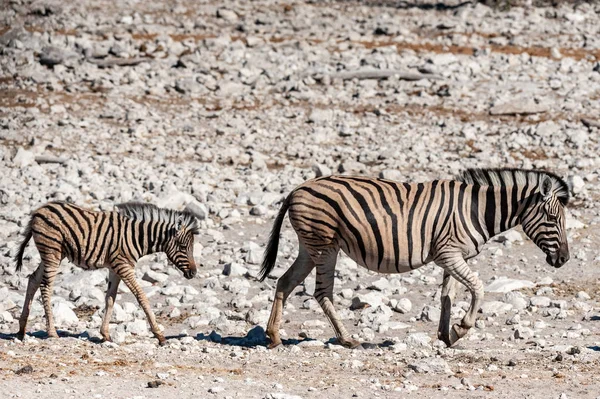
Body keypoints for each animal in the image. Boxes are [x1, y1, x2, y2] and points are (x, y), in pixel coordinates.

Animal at [14, 202, 199, 346]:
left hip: (52, 255)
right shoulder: (123, 266)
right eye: (183, 247)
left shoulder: (115, 268)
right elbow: (141, 297)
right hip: (52, 252)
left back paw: (22, 329)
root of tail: (39, 210)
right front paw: (160, 336)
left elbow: (110, 299)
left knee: (33, 279)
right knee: (45, 286)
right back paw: (51, 332)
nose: (194, 272)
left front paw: (105, 335)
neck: (137, 237)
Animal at [260, 167, 568, 348]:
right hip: (324, 245)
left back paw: (273, 336)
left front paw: (446, 336)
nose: (564, 259)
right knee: (322, 292)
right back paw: (347, 339)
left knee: (285, 283)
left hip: (309, 246)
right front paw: (461, 328)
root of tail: (296, 189)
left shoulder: (452, 256)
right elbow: (478, 288)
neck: (477, 210)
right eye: (553, 219)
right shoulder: (448, 254)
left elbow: (447, 296)